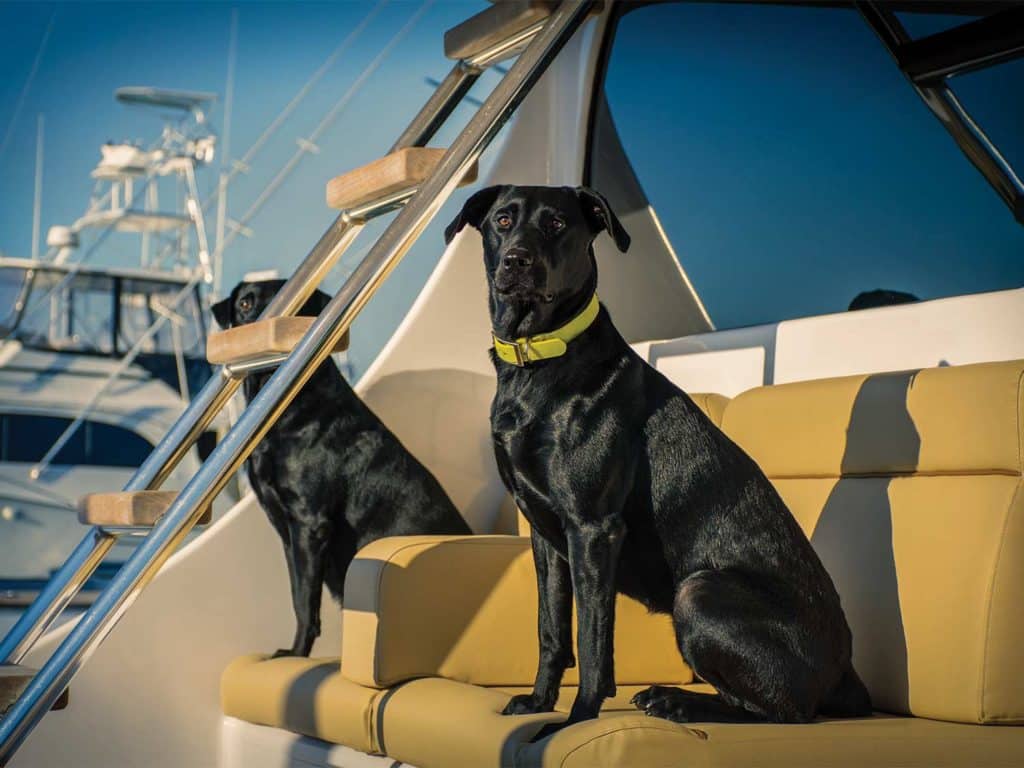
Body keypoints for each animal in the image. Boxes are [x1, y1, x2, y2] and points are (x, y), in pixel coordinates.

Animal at [216, 280, 471, 659]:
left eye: (302, 303)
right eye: (245, 303)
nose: (263, 323)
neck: (288, 409)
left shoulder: (309, 523)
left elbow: (305, 602)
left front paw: (296, 655)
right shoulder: (287, 531)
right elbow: (298, 594)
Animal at [444, 186, 868, 741]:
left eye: (557, 223)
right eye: (502, 220)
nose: (517, 260)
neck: (540, 359)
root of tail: (847, 673)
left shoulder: (593, 529)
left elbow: (593, 643)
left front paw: (574, 723)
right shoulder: (547, 537)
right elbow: (551, 629)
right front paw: (538, 702)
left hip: (699, 592)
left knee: (784, 711)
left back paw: (679, 703)